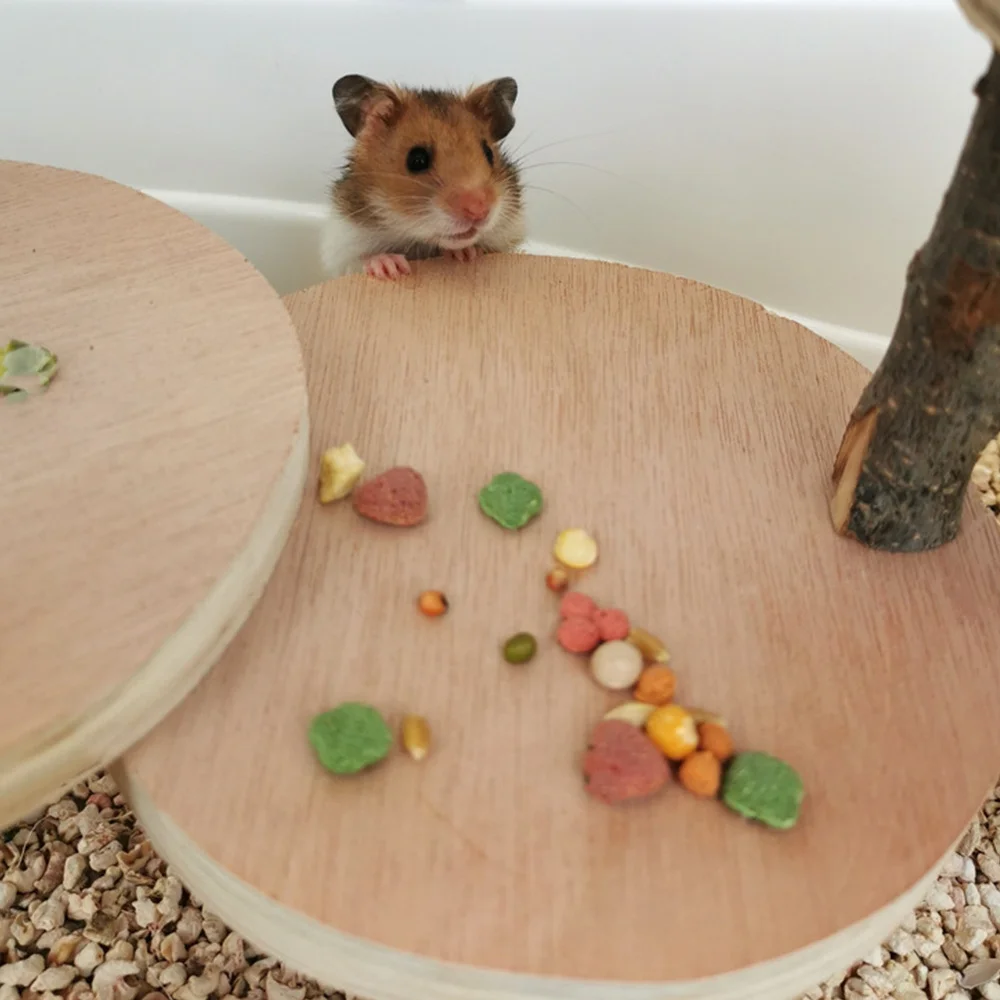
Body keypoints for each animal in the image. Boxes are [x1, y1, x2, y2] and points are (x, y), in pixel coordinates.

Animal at [319, 74, 526, 280]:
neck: (417, 240)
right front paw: (391, 267)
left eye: (488, 153)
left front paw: (467, 253)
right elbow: (360, 260)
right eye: (417, 160)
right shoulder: (341, 248)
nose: (479, 211)